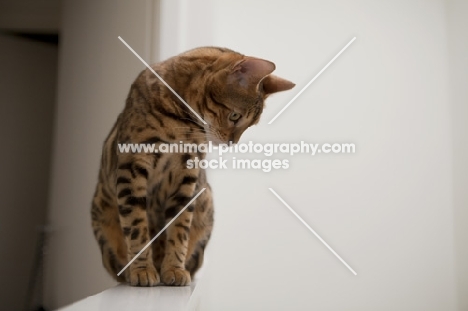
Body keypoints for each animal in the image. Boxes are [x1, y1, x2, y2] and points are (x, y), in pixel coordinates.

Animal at [90, 47, 292, 288]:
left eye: (249, 124)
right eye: (235, 116)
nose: (232, 143)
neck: (181, 123)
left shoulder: (187, 173)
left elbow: (179, 229)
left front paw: (174, 269)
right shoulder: (133, 166)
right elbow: (136, 225)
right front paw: (142, 270)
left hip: (206, 201)